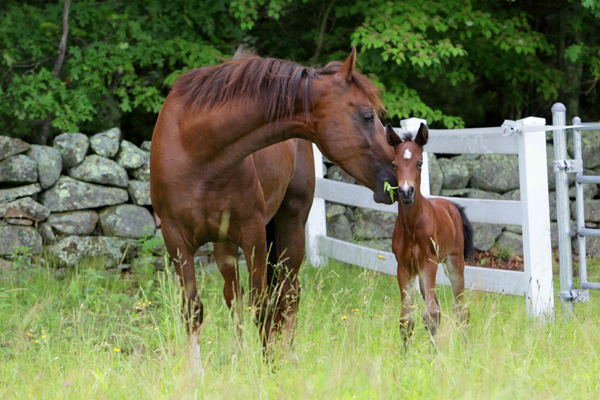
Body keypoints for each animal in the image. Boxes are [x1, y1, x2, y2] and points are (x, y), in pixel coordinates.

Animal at [390, 124, 474, 340]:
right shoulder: (404, 267)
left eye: (419, 162)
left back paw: (466, 345)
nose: (406, 192)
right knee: (438, 306)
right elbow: (406, 319)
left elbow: (430, 314)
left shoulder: (429, 262)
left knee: (461, 308)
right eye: (394, 164)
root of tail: (451, 205)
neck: (412, 226)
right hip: (420, 274)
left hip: (454, 263)